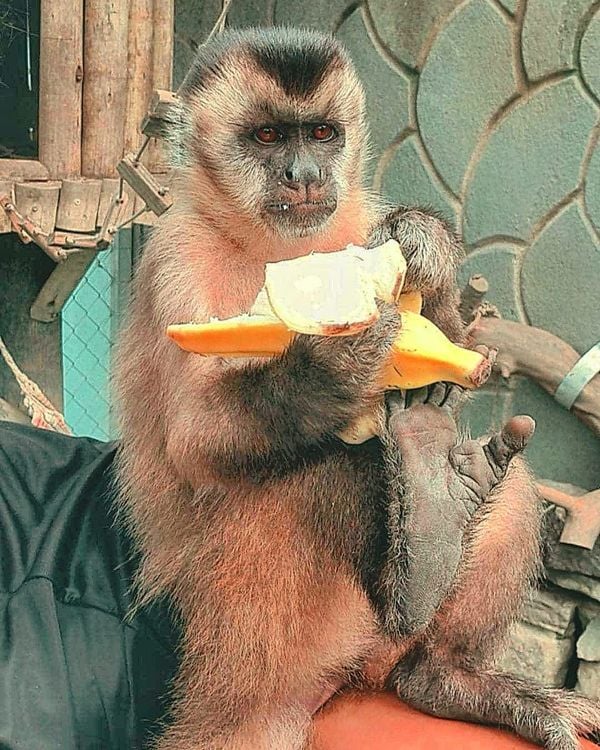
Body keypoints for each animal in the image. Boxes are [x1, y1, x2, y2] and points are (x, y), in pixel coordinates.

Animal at [114, 27, 600, 750]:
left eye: (321, 134)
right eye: (267, 138)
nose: (305, 175)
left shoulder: (358, 213)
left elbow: (457, 358)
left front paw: (426, 243)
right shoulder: (176, 255)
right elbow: (195, 445)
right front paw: (337, 360)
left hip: (379, 642)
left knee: (498, 481)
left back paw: (438, 639)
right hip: (268, 623)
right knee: (299, 477)